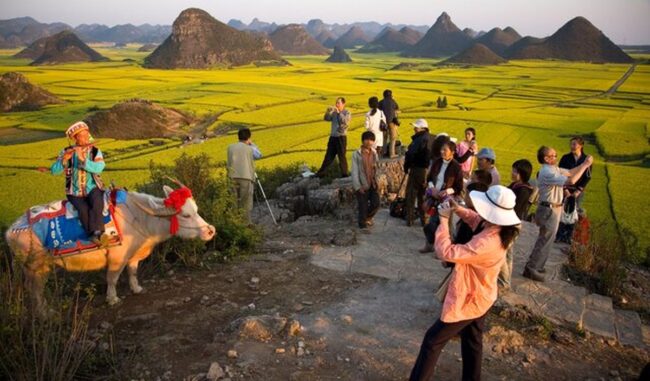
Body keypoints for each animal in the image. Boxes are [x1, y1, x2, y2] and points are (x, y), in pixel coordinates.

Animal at [4, 184, 215, 312]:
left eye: (196, 210)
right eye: (186, 215)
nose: (210, 231)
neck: (140, 216)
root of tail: (11, 230)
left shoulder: (133, 256)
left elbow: (132, 272)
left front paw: (136, 288)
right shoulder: (116, 258)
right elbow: (112, 278)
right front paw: (112, 299)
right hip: (35, 267)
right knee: (35, 289)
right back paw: (45, 313)